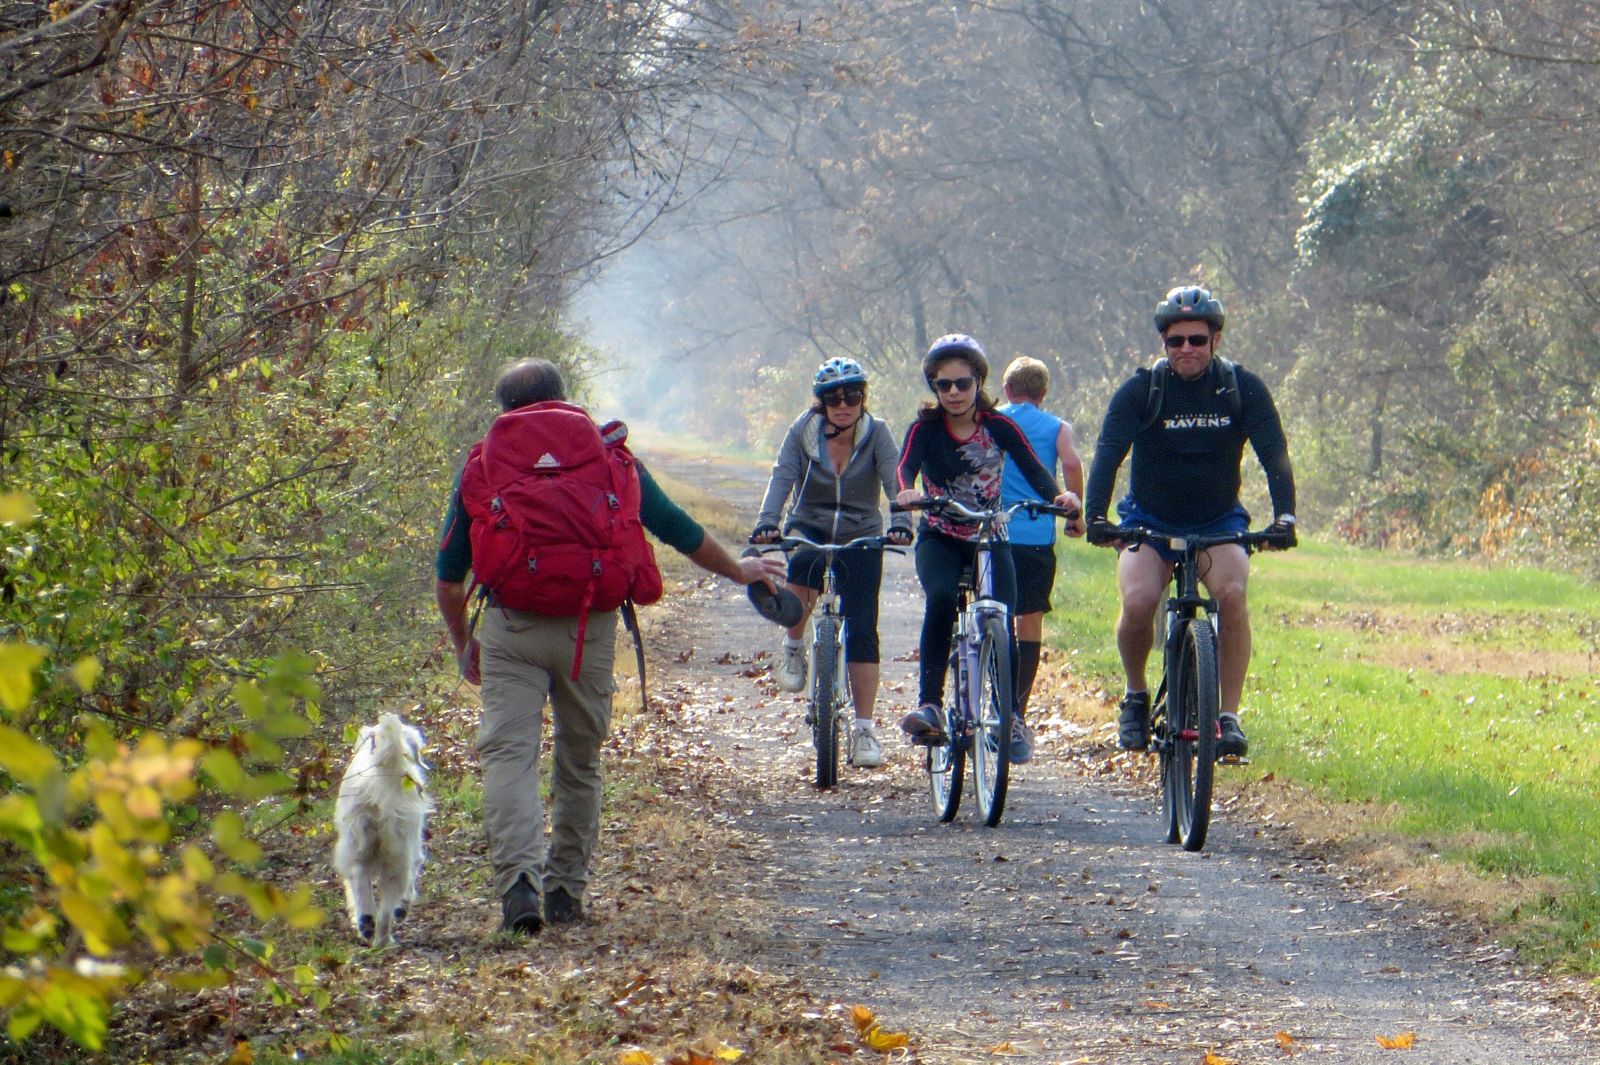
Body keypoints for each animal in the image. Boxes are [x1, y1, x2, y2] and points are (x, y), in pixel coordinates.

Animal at [332, 713, 432, 946]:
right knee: (386, 908)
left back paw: (367, 924)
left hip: (356, 844)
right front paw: (403, 909)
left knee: (358, 876)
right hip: (398, 856)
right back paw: (384, 939)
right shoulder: (415, 850)